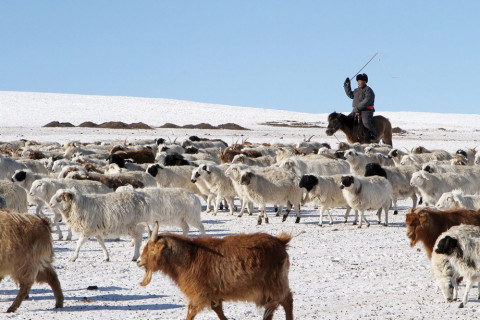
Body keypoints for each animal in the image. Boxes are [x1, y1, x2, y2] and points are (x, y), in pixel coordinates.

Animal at [137, 222, 294, 320]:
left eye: (152, 249)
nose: (138, 261)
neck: (189, 258)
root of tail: (281, 242)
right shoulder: (213, 295)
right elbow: (219, 312)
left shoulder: (199, 294)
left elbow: (191, 312)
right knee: (274, 307)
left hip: (275, 284)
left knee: (287, 300)